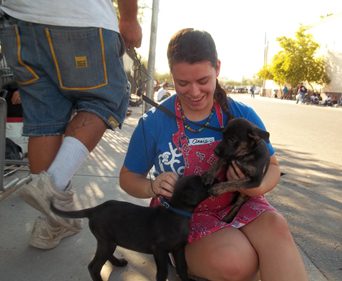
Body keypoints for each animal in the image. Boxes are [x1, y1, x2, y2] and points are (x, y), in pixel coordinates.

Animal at [49, 175, 207, 280]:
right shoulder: (159, 251)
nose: (208, 175)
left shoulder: (179, 249)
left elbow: (182, 268)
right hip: (107, 242)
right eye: (202, 182)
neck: (176, 212)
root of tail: (94, 209)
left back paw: (118, 263)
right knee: (93, 267)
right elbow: (162, 273)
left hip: (108, 241)